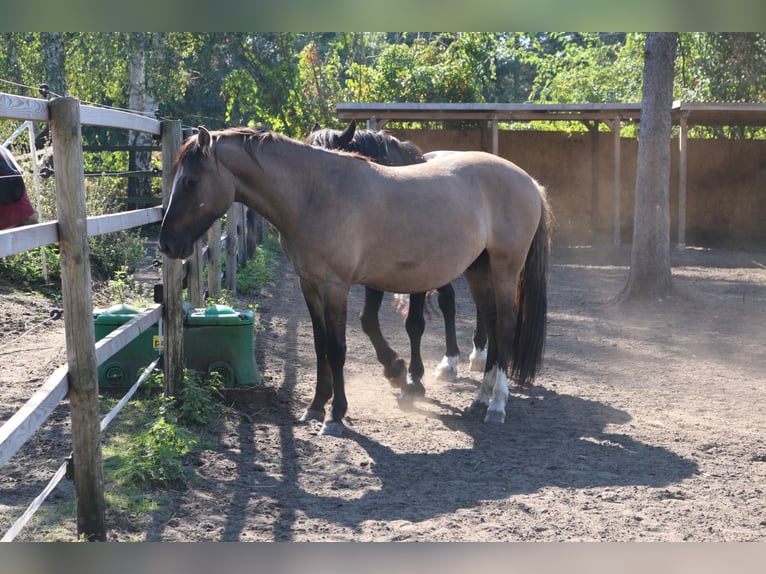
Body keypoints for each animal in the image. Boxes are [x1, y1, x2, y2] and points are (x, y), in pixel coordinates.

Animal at [159, 128, 552, 438]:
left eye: (191, 181)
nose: (166, 243)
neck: (314, 193)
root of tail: (529, 181)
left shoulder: (336, 286)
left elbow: (337, 348)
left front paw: (336, 416)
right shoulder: (310, 285)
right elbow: (320, 345)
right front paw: (316, 406)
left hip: (504, 269)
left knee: (504, 327)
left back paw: (497, 405)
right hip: (478, 271)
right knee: (491, 326)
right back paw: (480, 398)